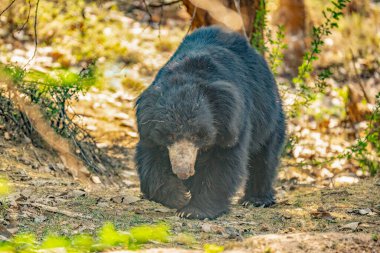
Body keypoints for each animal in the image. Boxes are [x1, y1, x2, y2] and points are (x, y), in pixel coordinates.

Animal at [135, 26, 286, 219]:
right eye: (170, 135)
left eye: (197, 136)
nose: (183, 172)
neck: (190, 74)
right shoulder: (150, 127)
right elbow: (150, 160)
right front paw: (177, 197)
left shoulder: (233, 122)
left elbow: (223, 163)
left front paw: (194, 211)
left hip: (269, 117)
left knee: (265, 156)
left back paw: (256, 199)